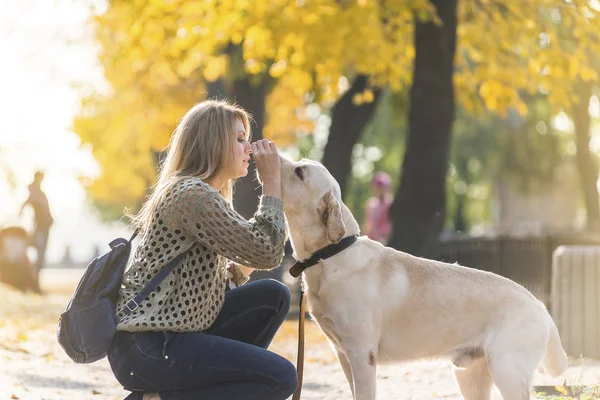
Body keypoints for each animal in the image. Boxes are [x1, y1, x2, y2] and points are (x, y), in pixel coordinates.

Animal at [278, 156, 568, 400]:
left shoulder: (362, 355)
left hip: (507, 371)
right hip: (470, 375)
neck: (330, 255)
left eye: (300, 172)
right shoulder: (343, 354)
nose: (275, 153)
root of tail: (539, 304)